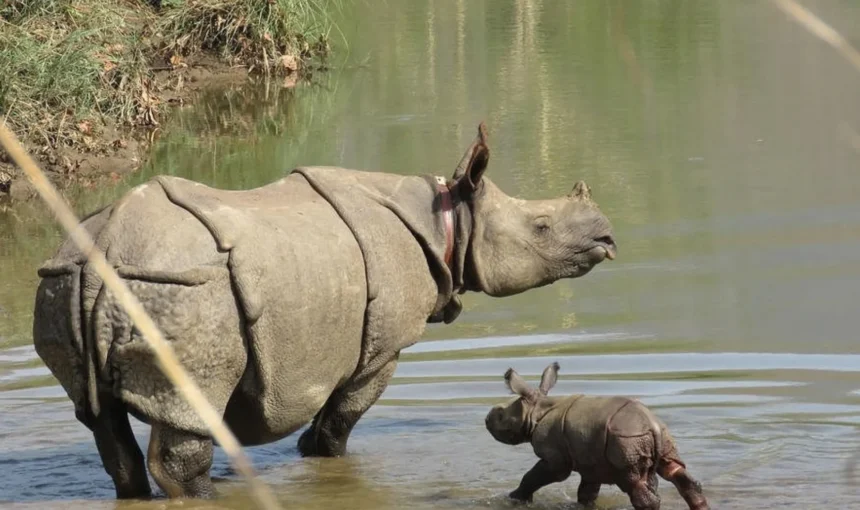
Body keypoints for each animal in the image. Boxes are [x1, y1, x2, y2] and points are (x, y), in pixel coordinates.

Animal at [32, 123, 617, 500]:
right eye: (542, 228)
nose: (607, 238)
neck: (449, 219)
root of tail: (106, 247)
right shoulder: (381, 350)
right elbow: (339, 422)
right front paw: (328, 462)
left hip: (66, 281)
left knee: (100, 419)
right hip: (182, 290)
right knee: (188, 408)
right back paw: (208, 493)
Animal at [485, 362, 710, 510]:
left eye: (500, 415)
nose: (486, 419)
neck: (536, 410)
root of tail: (652, 426)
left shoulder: (555, 457)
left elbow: (533, 477)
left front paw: (515, 499)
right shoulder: (591, 460)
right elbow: (587, 492)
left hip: (627, 439)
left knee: (633, 483)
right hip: (658, 436)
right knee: (675, 471)